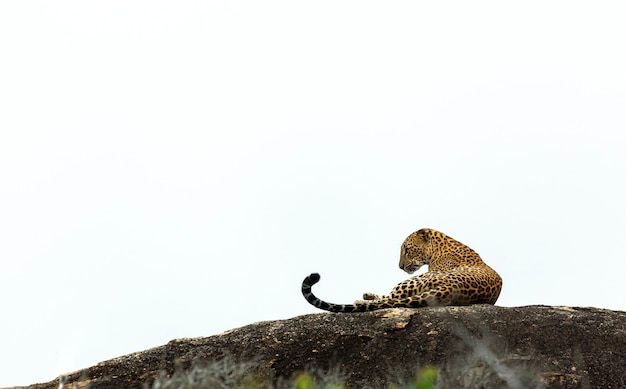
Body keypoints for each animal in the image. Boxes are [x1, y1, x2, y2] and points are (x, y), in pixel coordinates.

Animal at [300, 227, 500, 312]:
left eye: (406, 250)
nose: (400, 266)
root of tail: (452, 288)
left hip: (414, 280)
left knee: (391, 298)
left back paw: (361, 299)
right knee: (391, 298)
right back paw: (366, 296)